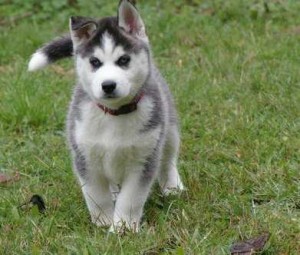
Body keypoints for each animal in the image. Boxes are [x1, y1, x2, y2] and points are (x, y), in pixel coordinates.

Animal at [28, 0, 183, 231]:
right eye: (95, 62)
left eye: (124, 59)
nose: (108, 85)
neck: (114, 114)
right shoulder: (86, 157)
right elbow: (96, 195)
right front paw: (103, 221)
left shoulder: (143, 160)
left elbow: (131, 198)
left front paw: (123, 228)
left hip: (169, 130)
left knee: (168, 159)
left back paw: (172, 186)